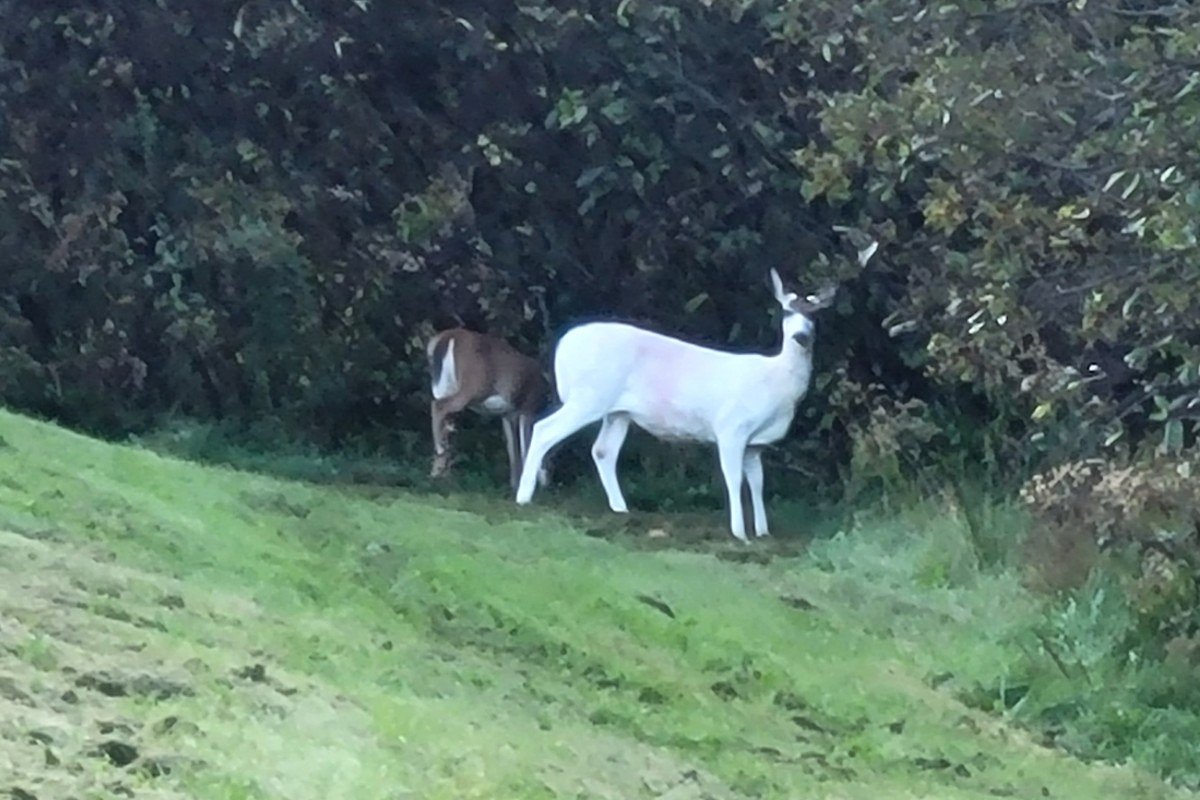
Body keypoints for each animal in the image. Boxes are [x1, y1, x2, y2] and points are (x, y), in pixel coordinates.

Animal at [427, 328, 550, 492]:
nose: (549, 480)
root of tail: (447, 337)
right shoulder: (527, 408)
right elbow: (527, 445)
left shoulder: (507, 414)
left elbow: (512, 447)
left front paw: (514, 484)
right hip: (472, 386)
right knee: (438, 406)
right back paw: (440, 451)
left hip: (443, 386)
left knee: (445, 421)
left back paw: (438, 472)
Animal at [513, 269, 836, 541]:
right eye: (786, 310)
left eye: (815, 314)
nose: (801, 336)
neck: (777, 383)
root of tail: (562, 348)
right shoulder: (731, 427)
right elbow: (733, 478)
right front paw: (739, 533)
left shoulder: (757, 443)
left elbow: (757, 483)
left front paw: (763, 532)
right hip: (589, 395)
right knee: (544, 428)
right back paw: (523, 497)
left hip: (617, 410)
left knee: (602, 450)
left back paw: (621, 510)